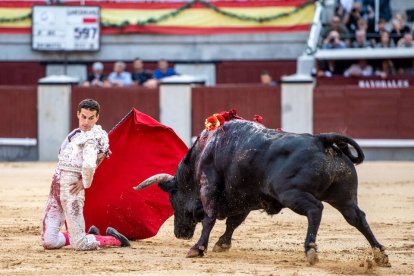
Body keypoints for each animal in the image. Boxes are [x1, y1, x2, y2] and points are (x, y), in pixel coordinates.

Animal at [134, 119, 390, 266]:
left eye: (172, 198)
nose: (180, 233)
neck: (203, 152)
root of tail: (321, 140)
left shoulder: (209, 187)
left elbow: (209, 219)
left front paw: (198, 248)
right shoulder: (245, 198)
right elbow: (233, 222)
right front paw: (222, 244)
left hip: (291, 194)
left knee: (315, 209)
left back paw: (310, 250)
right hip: (344, 197)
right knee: (357, 218)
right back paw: (380, 255)